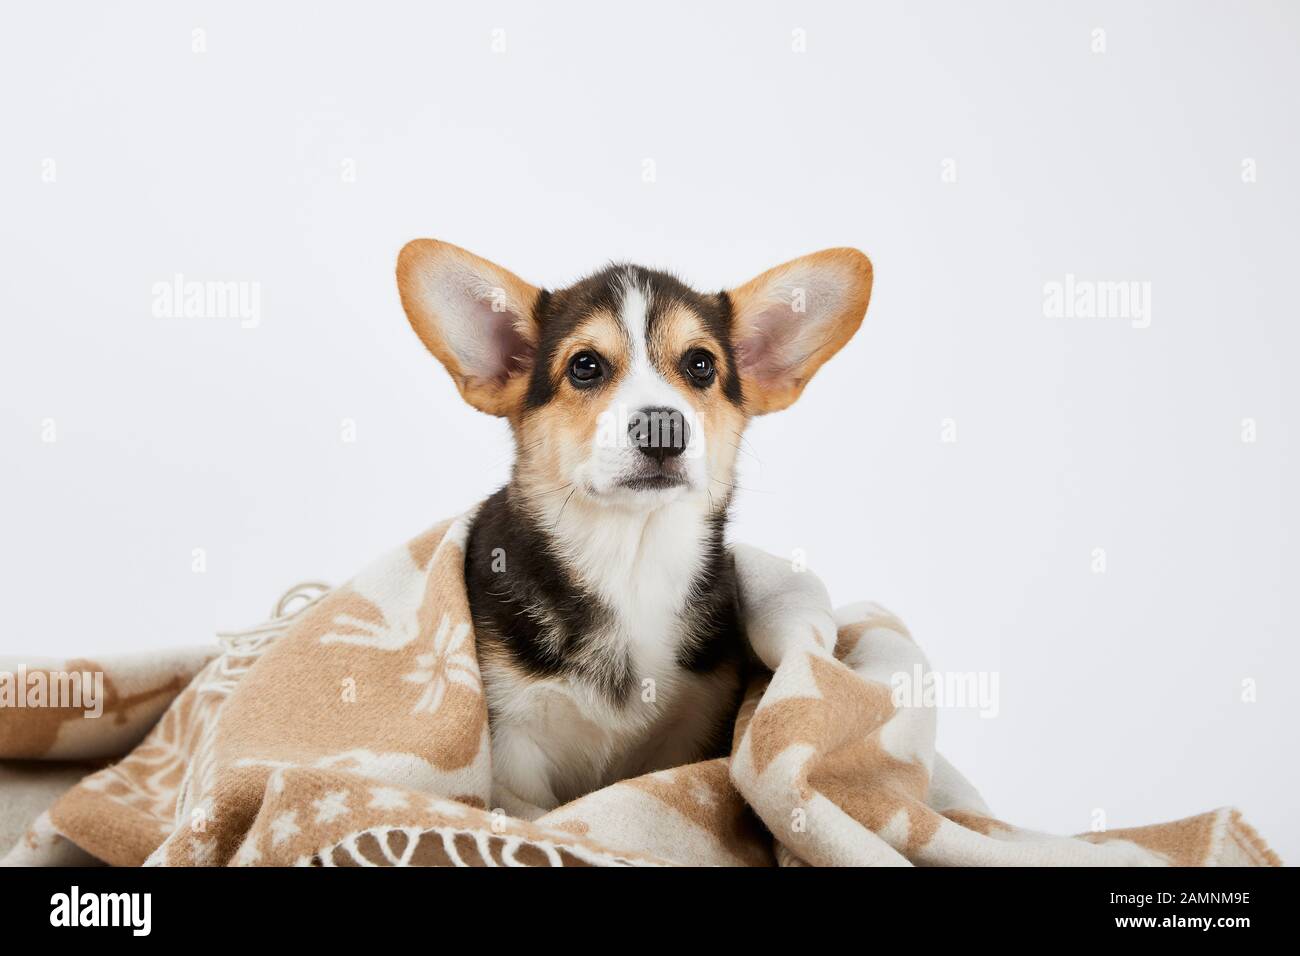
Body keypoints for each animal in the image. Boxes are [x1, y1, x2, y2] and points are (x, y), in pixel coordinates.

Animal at [395, 238, 873, 816]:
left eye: (700, 364)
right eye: (585, 366)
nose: (662, 427)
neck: (631, 558)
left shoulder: (690, 731)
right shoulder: (514, 748)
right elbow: (531, 809)